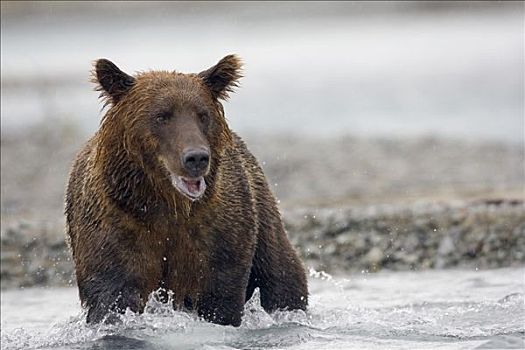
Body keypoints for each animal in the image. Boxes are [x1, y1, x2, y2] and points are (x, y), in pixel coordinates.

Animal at [66, 54, 310, 326]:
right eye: (162, 115)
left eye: (202, 114)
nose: (196, 157)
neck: (166, 204)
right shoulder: (116, 227)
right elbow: (113, 294)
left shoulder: (216, 234)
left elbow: (219, 296)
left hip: (264, 223)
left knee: (281, 277)